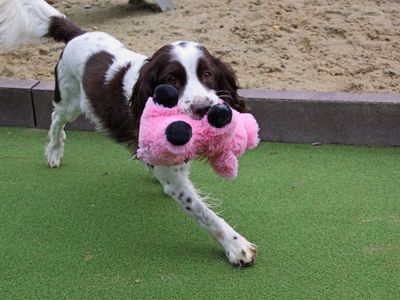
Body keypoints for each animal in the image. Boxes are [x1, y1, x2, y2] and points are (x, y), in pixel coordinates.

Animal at [0, 0, 256, 268]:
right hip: (69, 102)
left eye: (207, 74)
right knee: (56, 120)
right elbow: (203, 212)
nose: (205, 108)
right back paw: (54, 152)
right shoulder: (174, 180)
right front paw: (236, 246)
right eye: (171, 79)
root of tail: (79, 33)